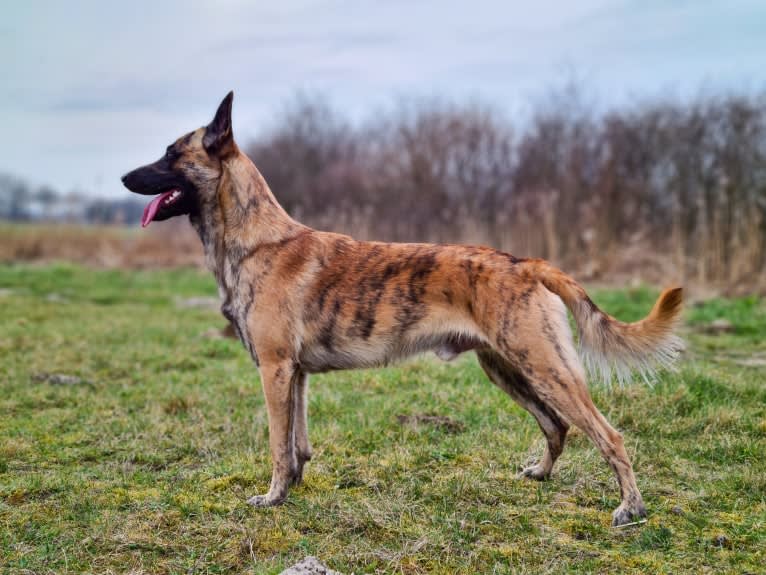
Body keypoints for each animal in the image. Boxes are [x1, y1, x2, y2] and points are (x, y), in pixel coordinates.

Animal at [123, 93, 688, 528]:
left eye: (171, 154)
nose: (126, 178)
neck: (257, 240)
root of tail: (529, 264)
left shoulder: (275, 371)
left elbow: (278, 448)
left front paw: (272, 497)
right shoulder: (294, 375)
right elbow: (298, 444)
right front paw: (294, 489)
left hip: (546, 370)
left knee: (608, 435)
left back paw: (630, 508)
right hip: (509, 370)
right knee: (557, 428)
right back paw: (541, 475)